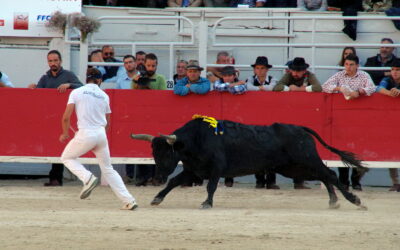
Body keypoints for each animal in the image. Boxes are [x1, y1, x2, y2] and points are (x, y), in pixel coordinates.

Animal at [131, 118, 368, 210]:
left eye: (167, 153)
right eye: (153, 152)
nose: (157, 176)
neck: (196, 139)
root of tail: (300, 128)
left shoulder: (216, 169)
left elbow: (211, 187)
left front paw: (207, 203)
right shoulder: (194, 171)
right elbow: (173, 183)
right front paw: (156, 198)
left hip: (306, 160)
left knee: (330, 175)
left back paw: (354, 200)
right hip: (295, 168)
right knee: (325, 176)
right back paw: (334, 201)